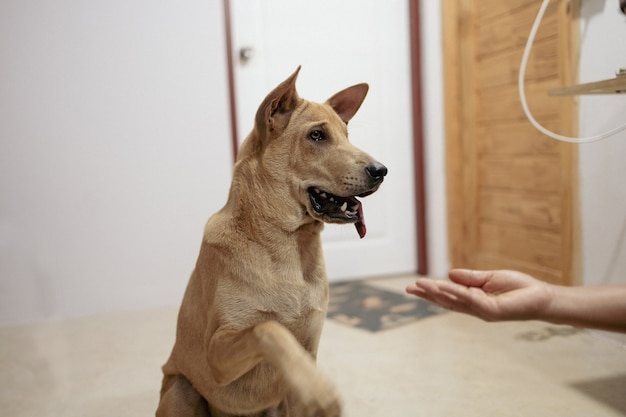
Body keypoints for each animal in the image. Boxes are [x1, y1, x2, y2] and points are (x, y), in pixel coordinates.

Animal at [155, 66, 386, 414]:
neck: (289, 246)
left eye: (347, 136)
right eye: (317, 136)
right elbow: (269, 328)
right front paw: (319, 389)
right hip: (181, 390)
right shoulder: (217, 352)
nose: (381, 170)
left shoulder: (308, 348)